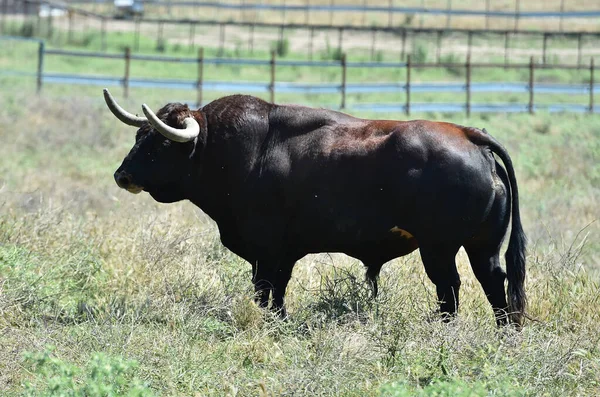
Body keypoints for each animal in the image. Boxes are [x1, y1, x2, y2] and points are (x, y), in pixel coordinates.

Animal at [105, 89, 528, 324]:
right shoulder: (282, 254)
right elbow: (277, 293)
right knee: (495, 284)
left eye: (159, 142)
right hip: (482, 246)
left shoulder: (266, 251)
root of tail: (471, 136)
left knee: (450, 288)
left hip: (438, 248)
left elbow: (265, 290)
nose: (122, 175)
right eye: (140, 135)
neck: (234, 152)